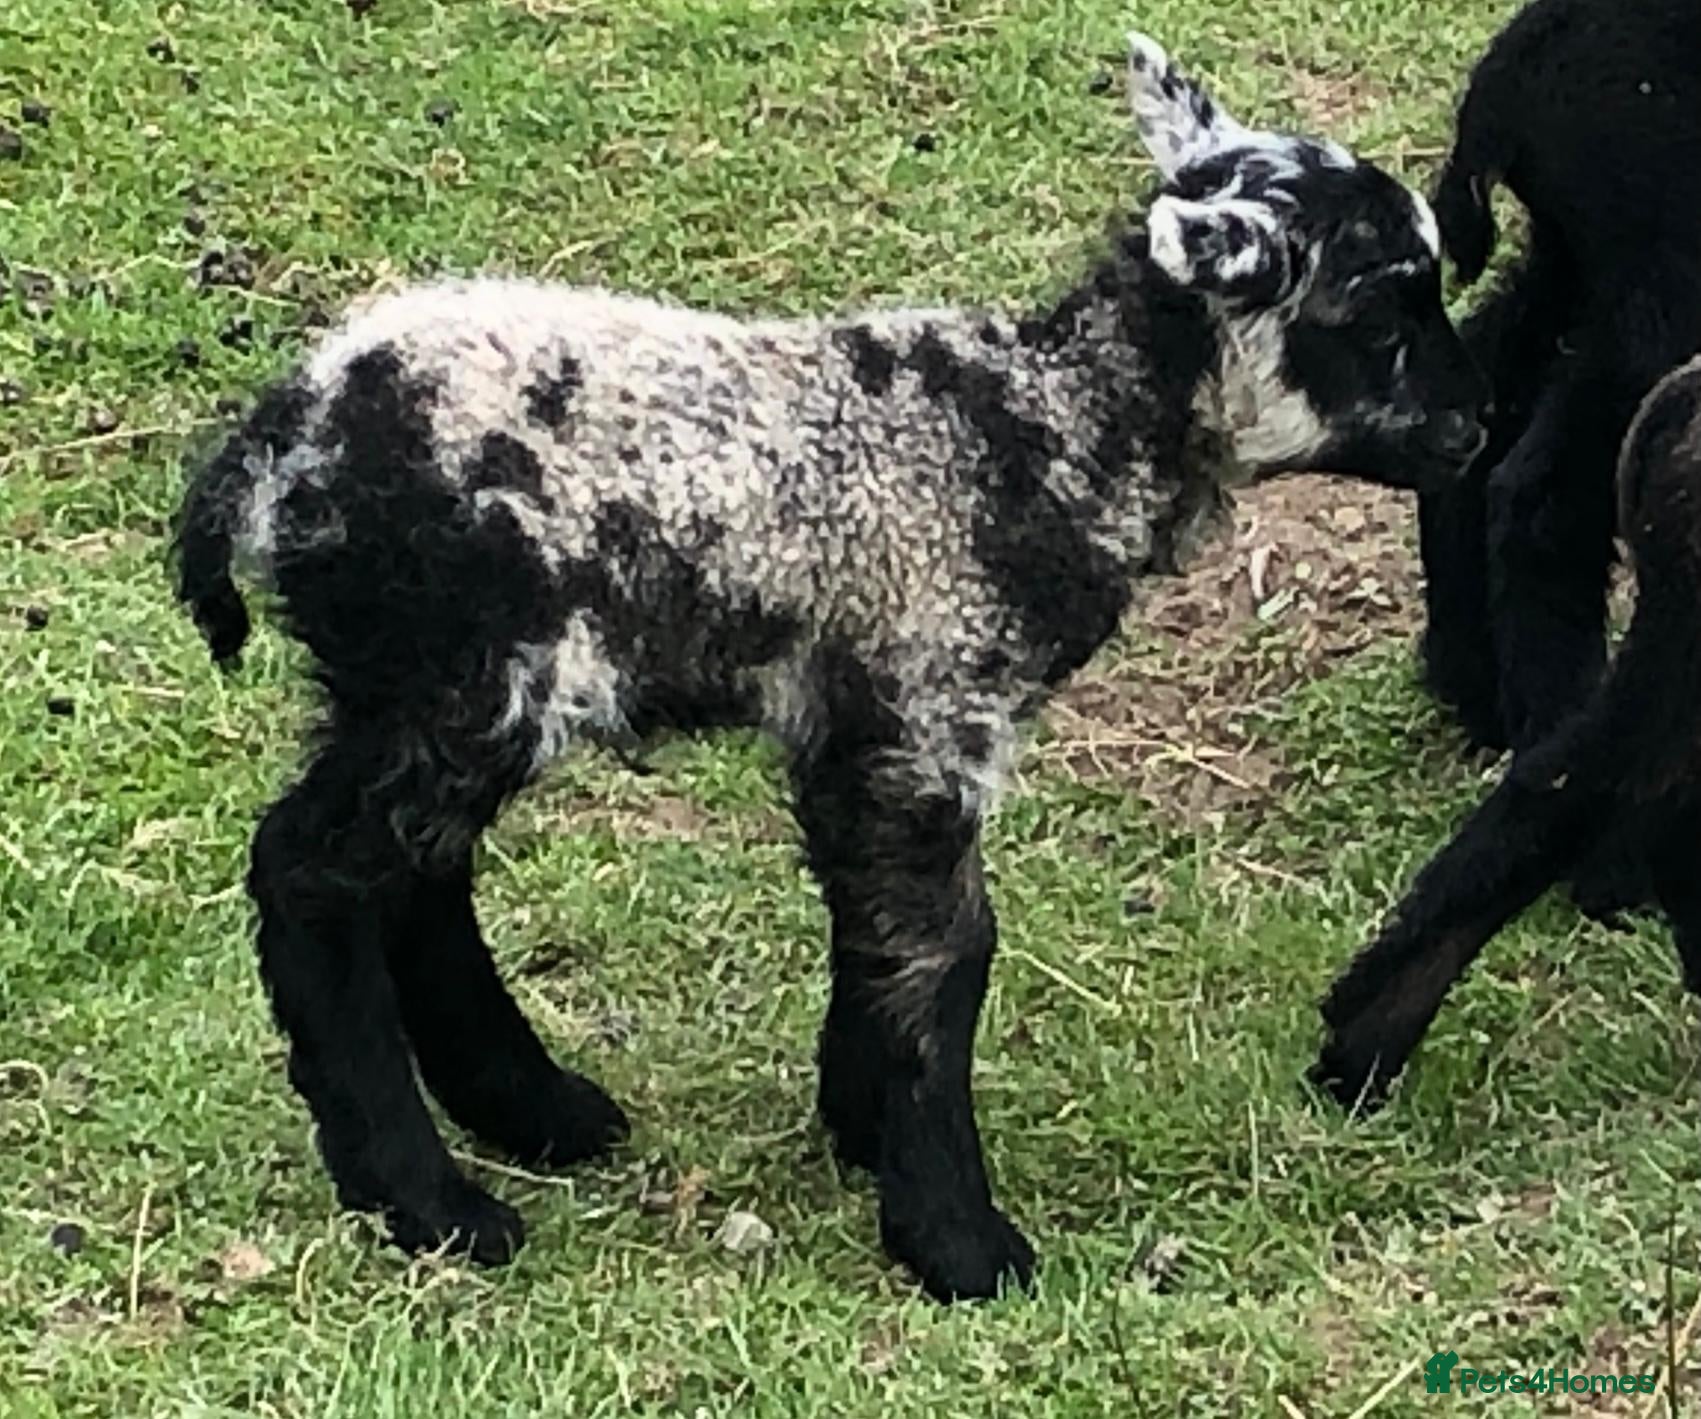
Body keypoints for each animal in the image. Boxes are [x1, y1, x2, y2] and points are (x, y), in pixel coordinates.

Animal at [172, 29, 1487, 1303]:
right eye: (1379, 316)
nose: (1476, 429)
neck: (1047, 435)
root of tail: (280, 442)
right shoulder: (929, 710)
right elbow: (945, 959)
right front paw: (959, 1243)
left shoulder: (857, 730)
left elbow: (877, 938)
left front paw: (860, 1133)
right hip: (466, 667)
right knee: (313, 873)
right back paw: (429, 1201)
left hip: (430, 686)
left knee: (419, 876)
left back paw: (537, 1113)